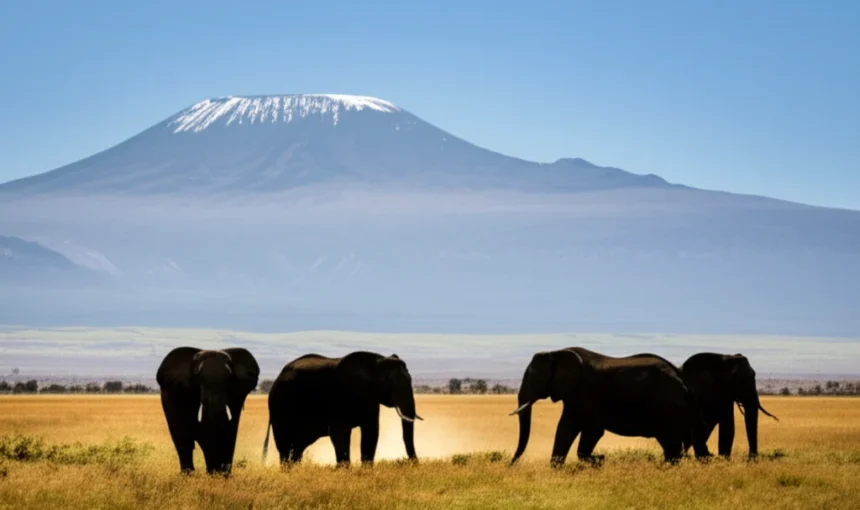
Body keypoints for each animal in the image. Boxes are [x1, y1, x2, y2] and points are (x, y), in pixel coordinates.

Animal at [156, 346, 260, 475]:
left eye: (229, 376)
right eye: (198, 376)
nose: (215, 471)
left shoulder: (236, 395)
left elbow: (230, 431)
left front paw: (222, 475)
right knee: (182, 438)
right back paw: (188, 474)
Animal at [262, 351, 422, 467]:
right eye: (390, 385)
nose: (413, 463)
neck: (376, 361)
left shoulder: (370, 399)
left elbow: (371, 432)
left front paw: (366, 471)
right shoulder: (339, 396)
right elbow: (340, 433)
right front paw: (344, 471)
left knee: (297, 447)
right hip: (280, 406)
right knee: (285, 445)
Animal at [510, 346, 708, 467]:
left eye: (533, 377)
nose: (511, 464)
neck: (557, 352)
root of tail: (682, 378)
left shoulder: (584, 392)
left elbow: (593, 430)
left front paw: (599, 460)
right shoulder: (573, 395)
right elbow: (565, 429)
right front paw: (557, 470)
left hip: (668, 407)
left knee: (671, 444)